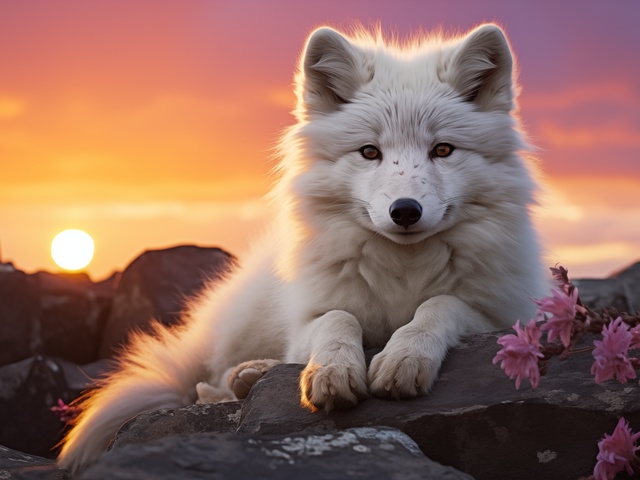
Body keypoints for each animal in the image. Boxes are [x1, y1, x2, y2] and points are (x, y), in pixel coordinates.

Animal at [58, 23, 547, 471]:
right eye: (370, 152)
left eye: (443, 150)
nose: (405, 211)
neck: (402, 270)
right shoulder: (312, 315)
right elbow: (337, 318)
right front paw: (332, 371)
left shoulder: (504, 317)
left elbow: (439, 305)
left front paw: (404, 356)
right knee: (209, 382)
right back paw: (246, 376)